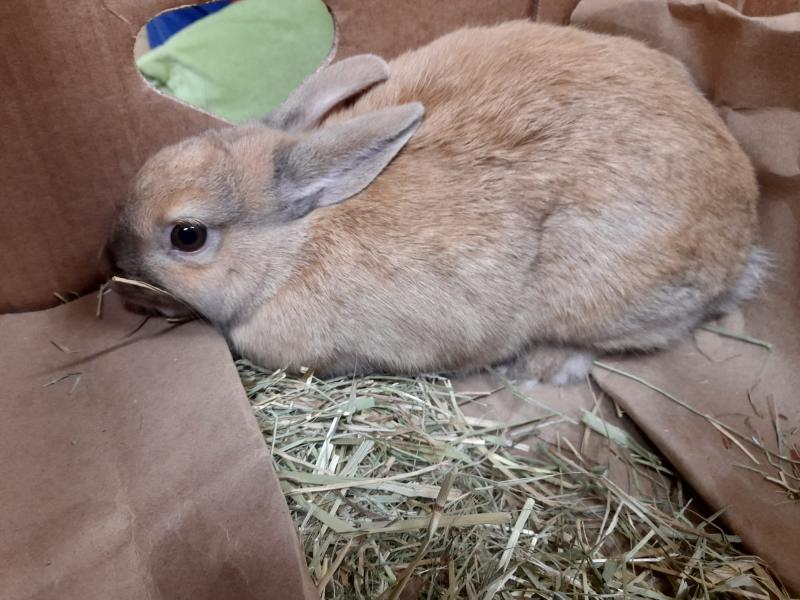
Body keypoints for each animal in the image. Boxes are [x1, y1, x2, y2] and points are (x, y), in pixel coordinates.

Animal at [105, 20, 766, 385]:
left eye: (187, 236)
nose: (109, 254)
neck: (293, 248)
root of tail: (745, 232)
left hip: (611, 296)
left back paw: (541, 367)